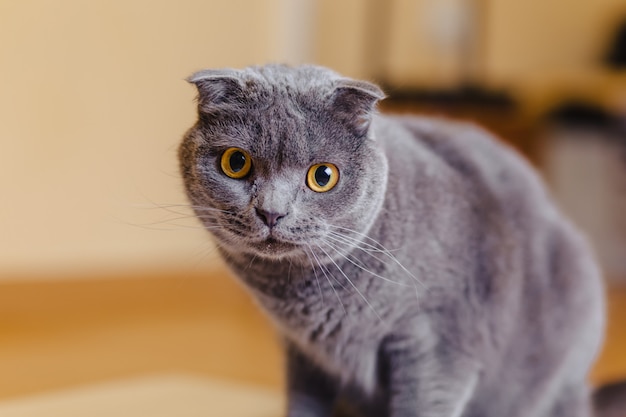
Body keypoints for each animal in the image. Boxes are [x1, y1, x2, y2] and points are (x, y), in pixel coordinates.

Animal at [177, 64, 604, 416]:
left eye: (322, 176)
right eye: (236, 162)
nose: (271, 212)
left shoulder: (438, 340)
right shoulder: (304, 353)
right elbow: (303, 404)